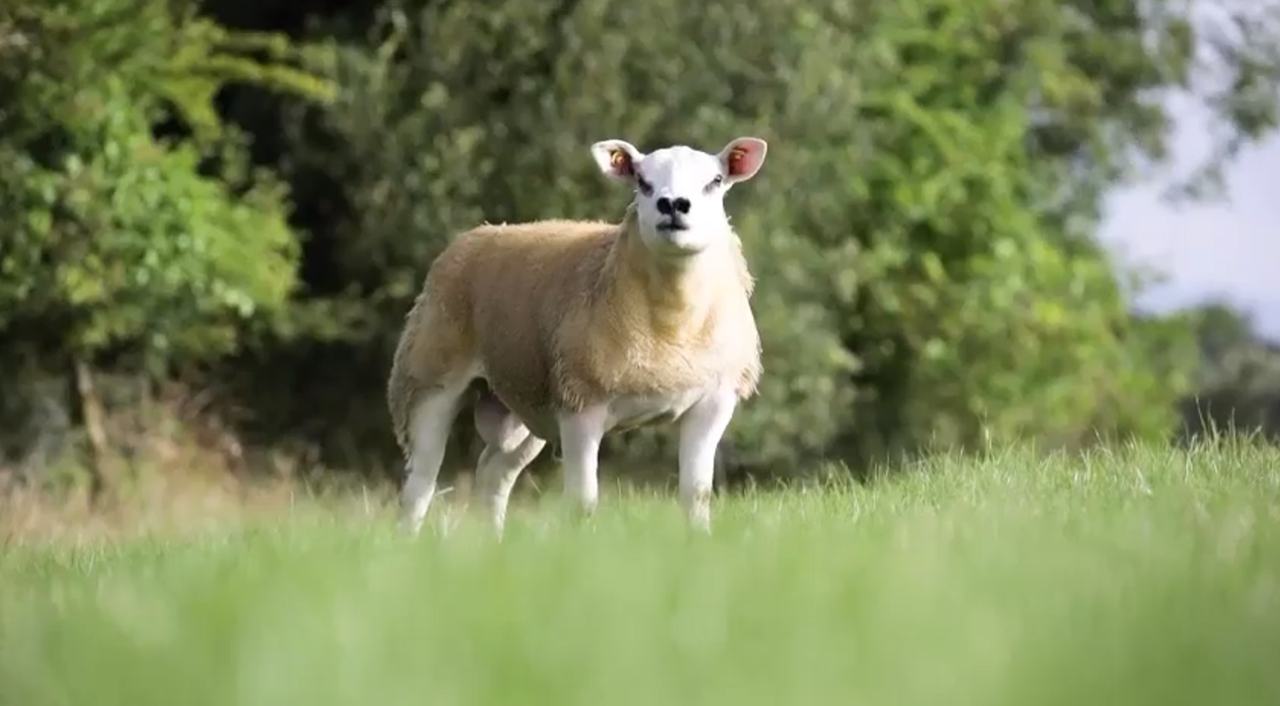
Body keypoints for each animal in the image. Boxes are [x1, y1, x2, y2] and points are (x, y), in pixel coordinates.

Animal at [386, 135, 769, 535]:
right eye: (642, 181)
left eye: (715, 181)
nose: (673, 205)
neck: (671, 324)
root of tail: (478, 233)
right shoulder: (581, 405)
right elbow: (583, 501)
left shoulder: (713, 403)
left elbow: (696, 494)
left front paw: (699, 538)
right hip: (428, 377)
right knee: (420, 481)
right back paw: (409, 539)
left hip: (525, 402)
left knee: (493, 472)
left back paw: (494, 541)